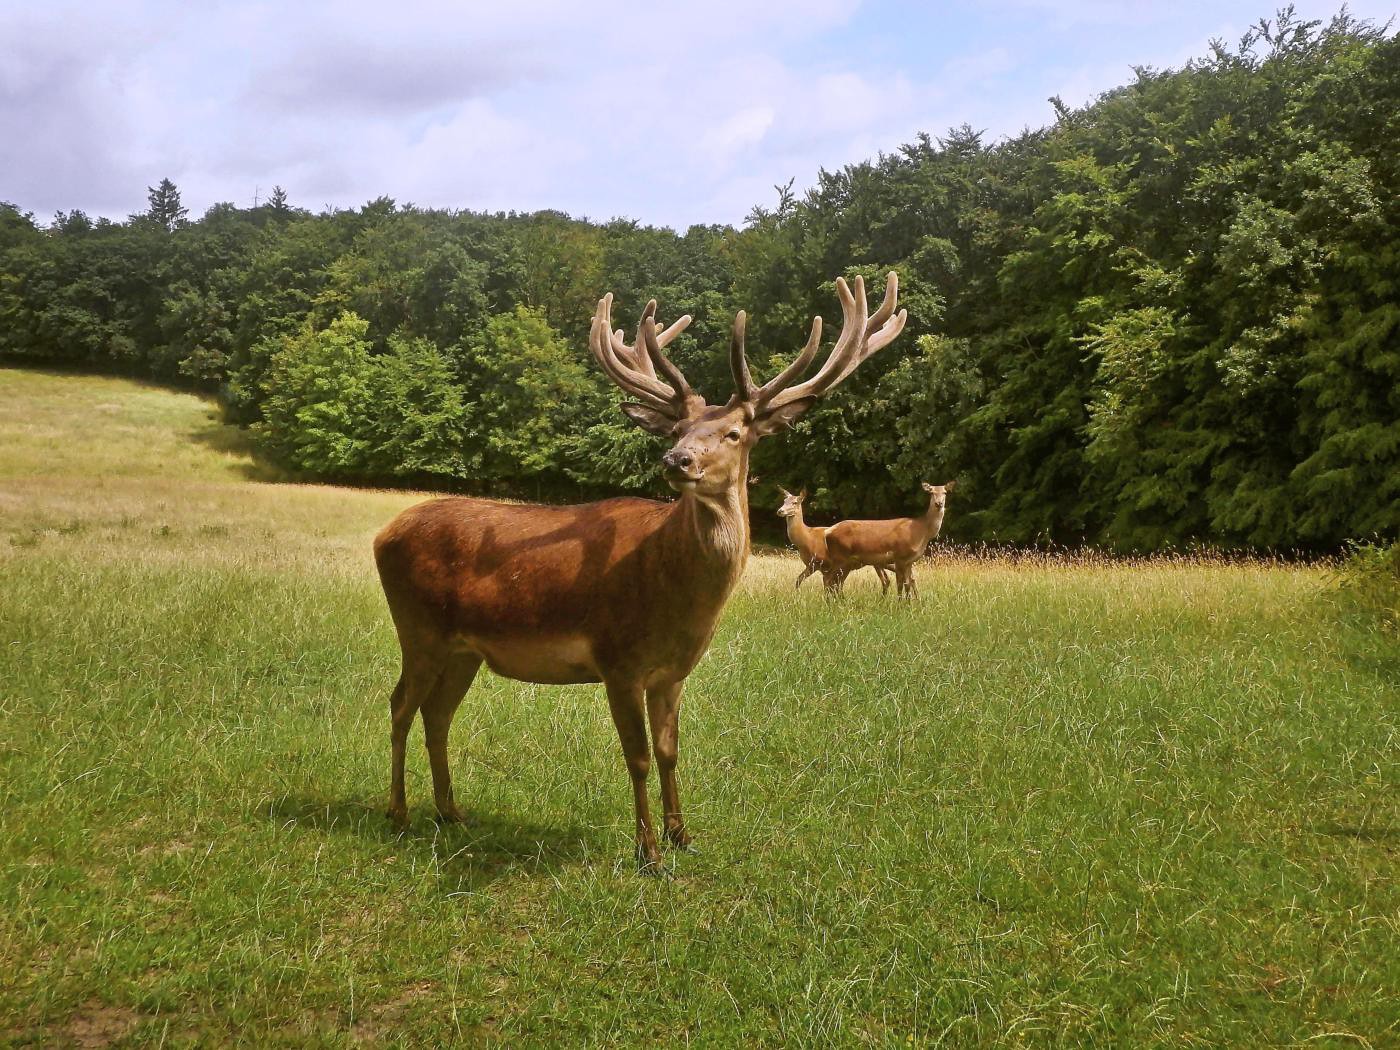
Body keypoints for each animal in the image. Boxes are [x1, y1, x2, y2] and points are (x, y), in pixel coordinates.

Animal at [372, 275, 907, 873]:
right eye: (677, 428)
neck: (673, 595)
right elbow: (639, 758)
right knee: (400, 706)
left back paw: (451, 811)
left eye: (736, 432)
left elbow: (671, 752)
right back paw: (399, 814)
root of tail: (383, 534)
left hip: (464, 649)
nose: (677, 460)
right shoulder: (618, 660)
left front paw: (683, 835)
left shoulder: (672, 672)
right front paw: (648, 851)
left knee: (437, 715)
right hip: (418, 628)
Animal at [817, 484, 952, 599]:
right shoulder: (899, 557)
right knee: (828, 579)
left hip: (846, 562)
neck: (921, 531)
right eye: (931, 492)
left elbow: (907, 583)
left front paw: (910, 604)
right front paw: (901, 604)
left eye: (945, 492)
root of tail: (827, 532)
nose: (939, 503)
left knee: (835, 581)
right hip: (840, 557)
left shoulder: (909, 561)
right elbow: (900, 584)